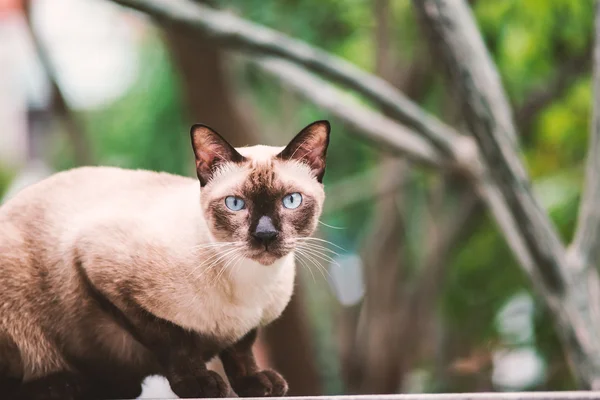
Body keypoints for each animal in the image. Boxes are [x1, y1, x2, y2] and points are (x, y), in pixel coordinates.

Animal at [0, 120, 330, 398]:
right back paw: (67, 385)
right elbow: (175, 343)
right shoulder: (104, 275)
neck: (250, 283)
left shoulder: (248, 326)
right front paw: (199, 383)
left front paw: (255, 383)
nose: (265, 235)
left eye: (291, 201)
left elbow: (240, 350)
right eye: (236, 204)